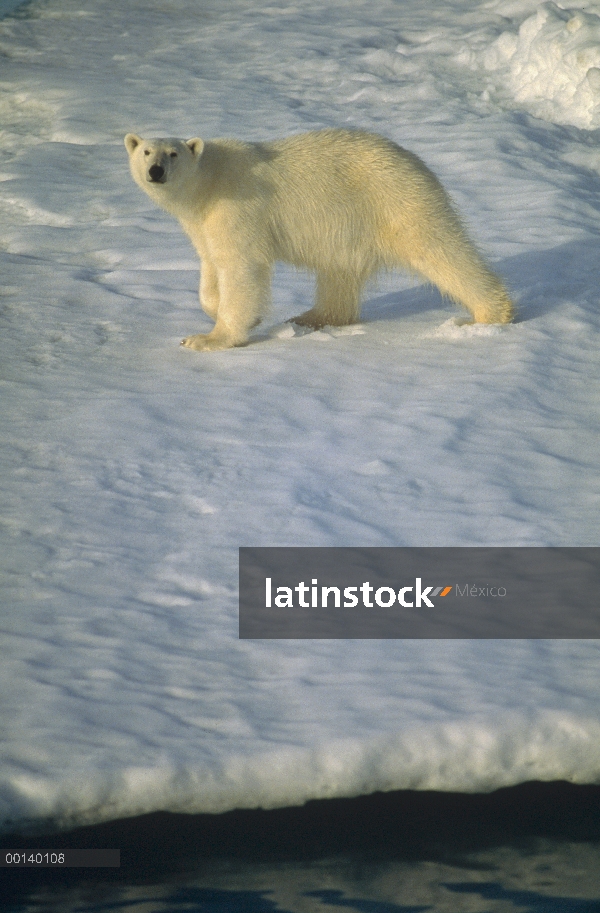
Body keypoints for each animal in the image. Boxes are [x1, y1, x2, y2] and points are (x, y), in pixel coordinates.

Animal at [124, 130, 512, 350]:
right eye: (146, 152)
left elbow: (241, 267)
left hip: (396, 202)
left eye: (173, 153)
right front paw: (215, 308)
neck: (210, 180)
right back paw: (310, 317)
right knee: (338, 274)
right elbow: (210, 263)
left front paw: (208, 338)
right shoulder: (202, 222)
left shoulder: (239, 208)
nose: (155, 171)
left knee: (442, 251)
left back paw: (490, 314)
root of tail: (417, 162)